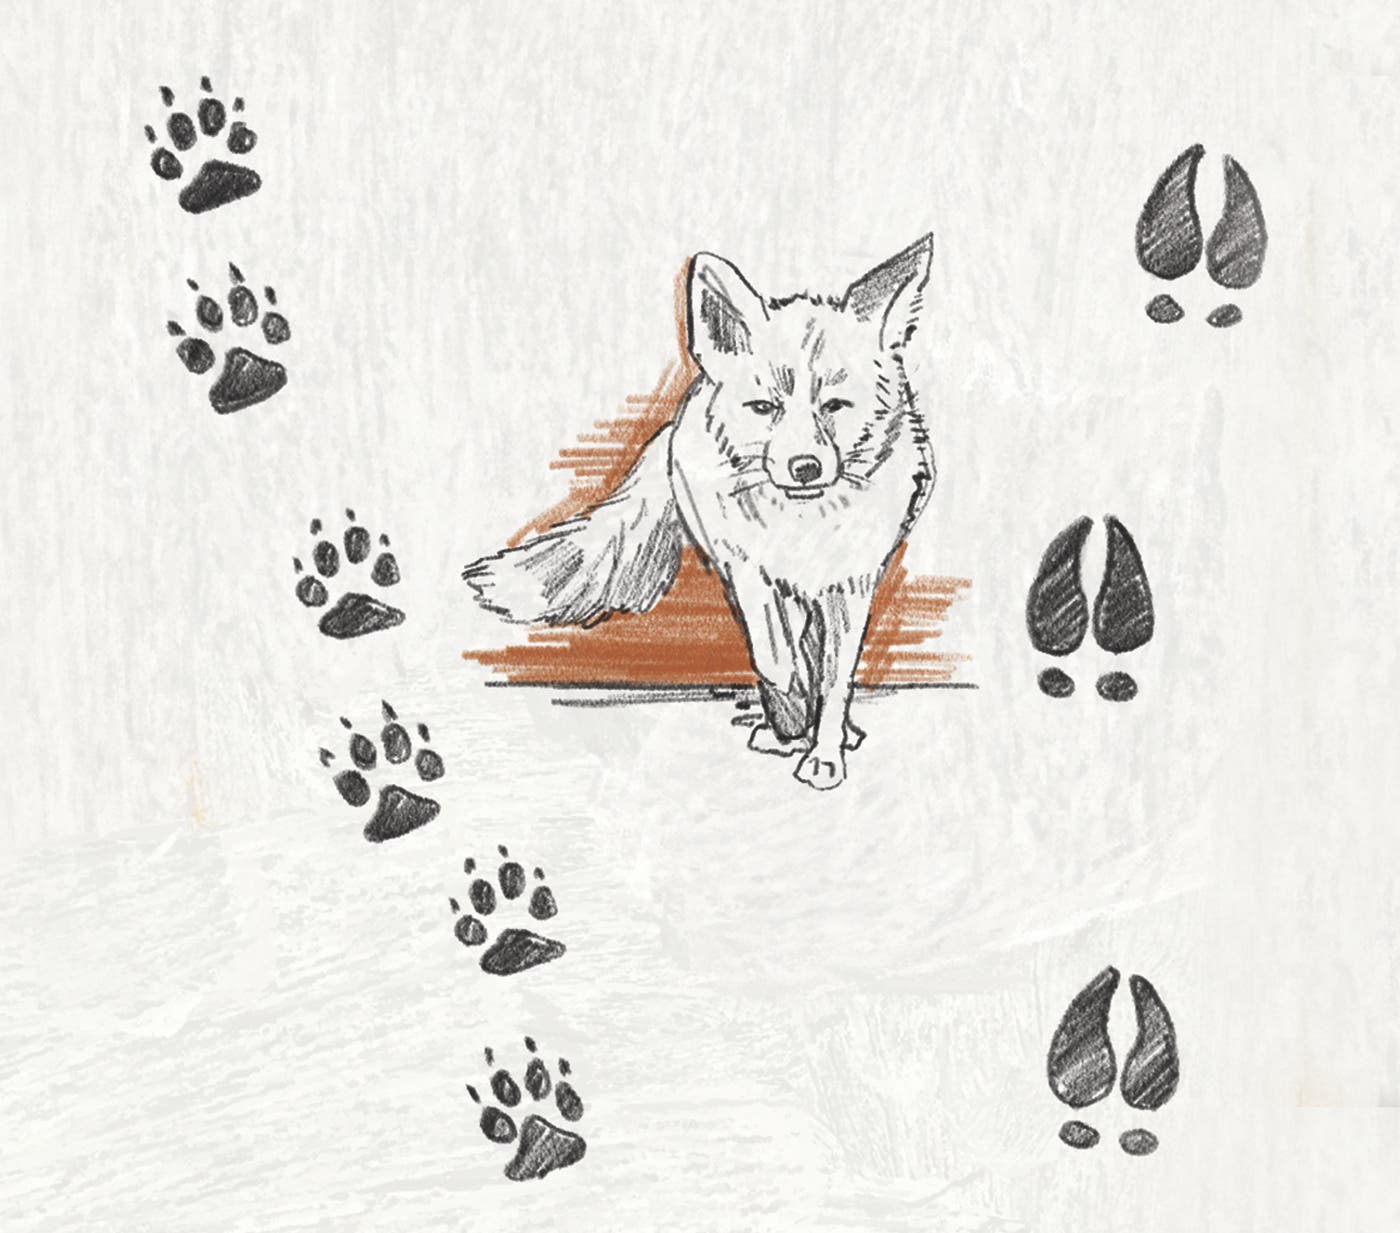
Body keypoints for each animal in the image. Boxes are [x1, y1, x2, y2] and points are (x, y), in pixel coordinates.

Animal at [463, 236, 937, 790]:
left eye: (836, 406)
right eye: (764, 408)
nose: (805, 467)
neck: (801, 528)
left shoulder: (851, 584)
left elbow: (836, 677)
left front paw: (824, 752)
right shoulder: (748, 573)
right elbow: (775, 660)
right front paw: (789, 721)